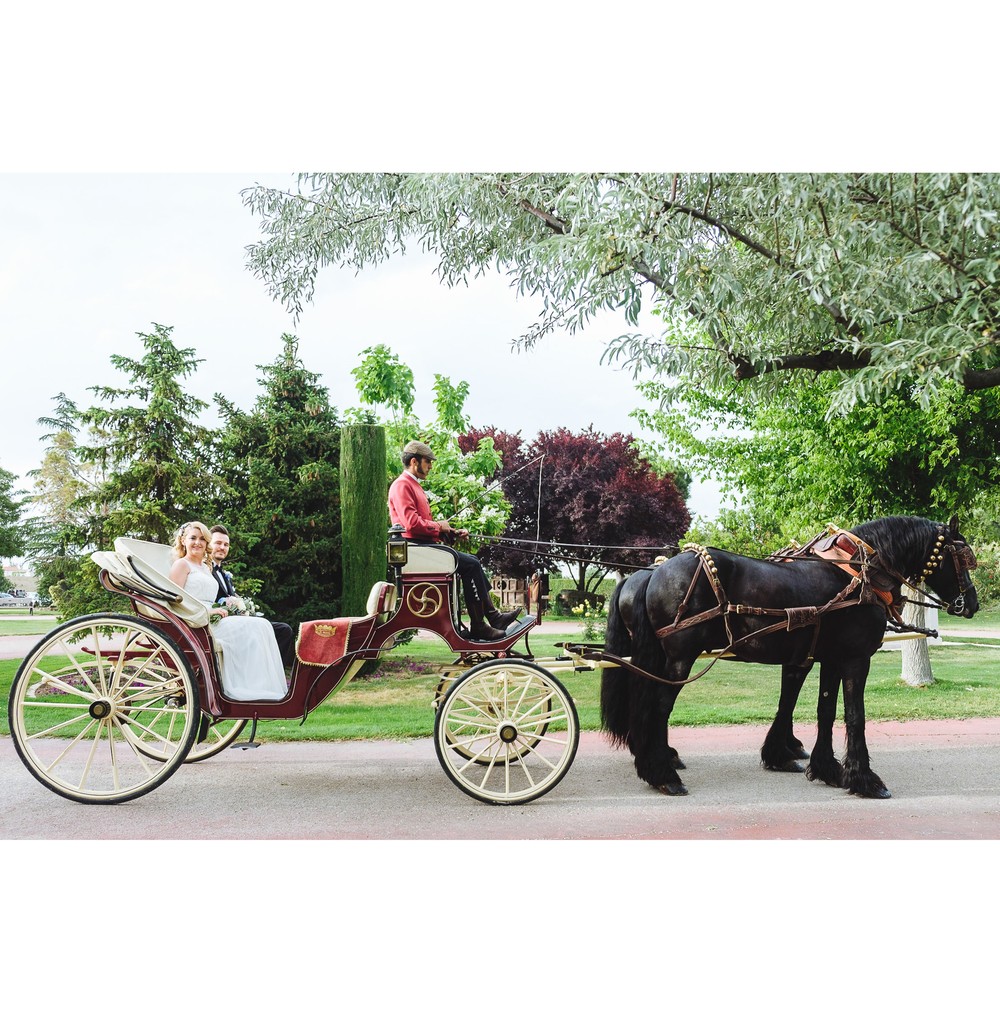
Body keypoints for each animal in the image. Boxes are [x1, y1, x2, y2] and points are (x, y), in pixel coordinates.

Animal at [602, 517, 974, 800]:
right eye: (963, 557)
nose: (971, 603)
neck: (856, 573)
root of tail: (652, 573)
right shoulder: (855, 658)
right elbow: (854, 716)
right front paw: (865, 780)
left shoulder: (827, 657)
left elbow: (823, 710)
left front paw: (825, 768)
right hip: (680, 659)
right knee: (657, 708)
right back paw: (662, 772)